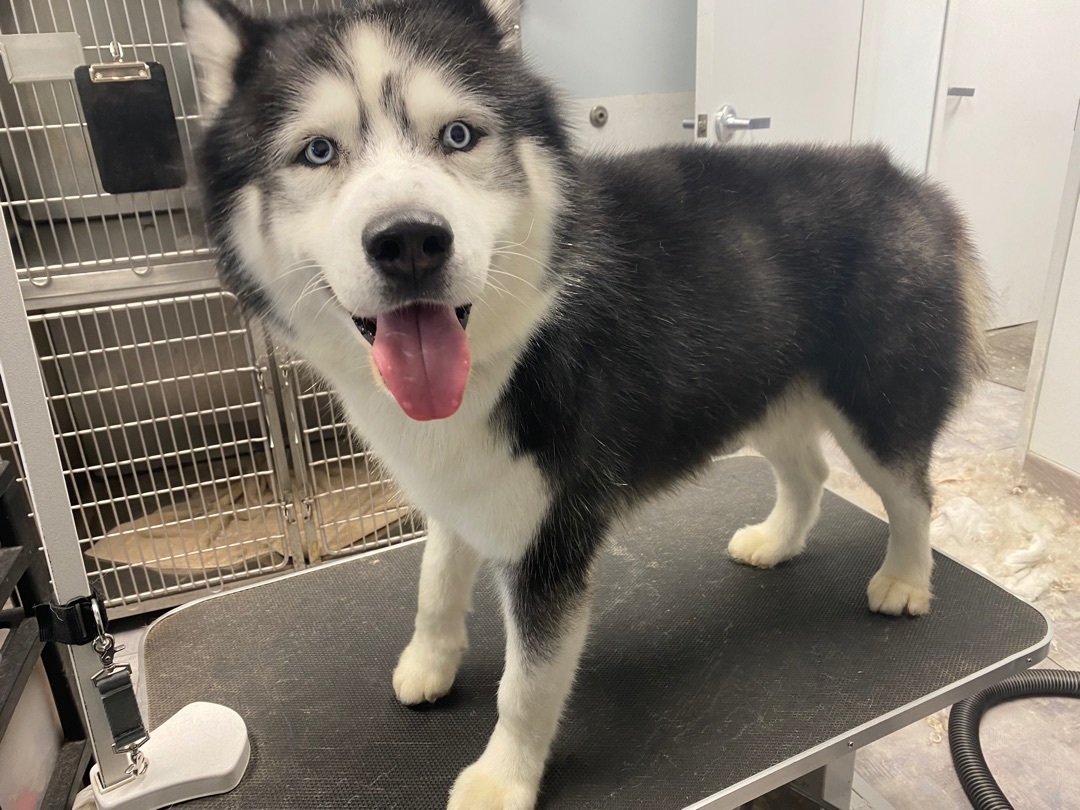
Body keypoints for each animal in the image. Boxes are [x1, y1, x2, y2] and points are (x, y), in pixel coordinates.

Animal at [179, 1, 989, 807]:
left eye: (459, 135)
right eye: (317, 152)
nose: (410, 240)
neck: (510, 347)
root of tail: (908, 182)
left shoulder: (552, 541)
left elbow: (527, 688)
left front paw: (502, 780)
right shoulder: (461, 488)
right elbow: (435, 582)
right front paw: (430, 662)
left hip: (879, 403)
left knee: (914, 494)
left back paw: (905, 580)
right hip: (765, 394)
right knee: (811, 474)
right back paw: (776, 541)